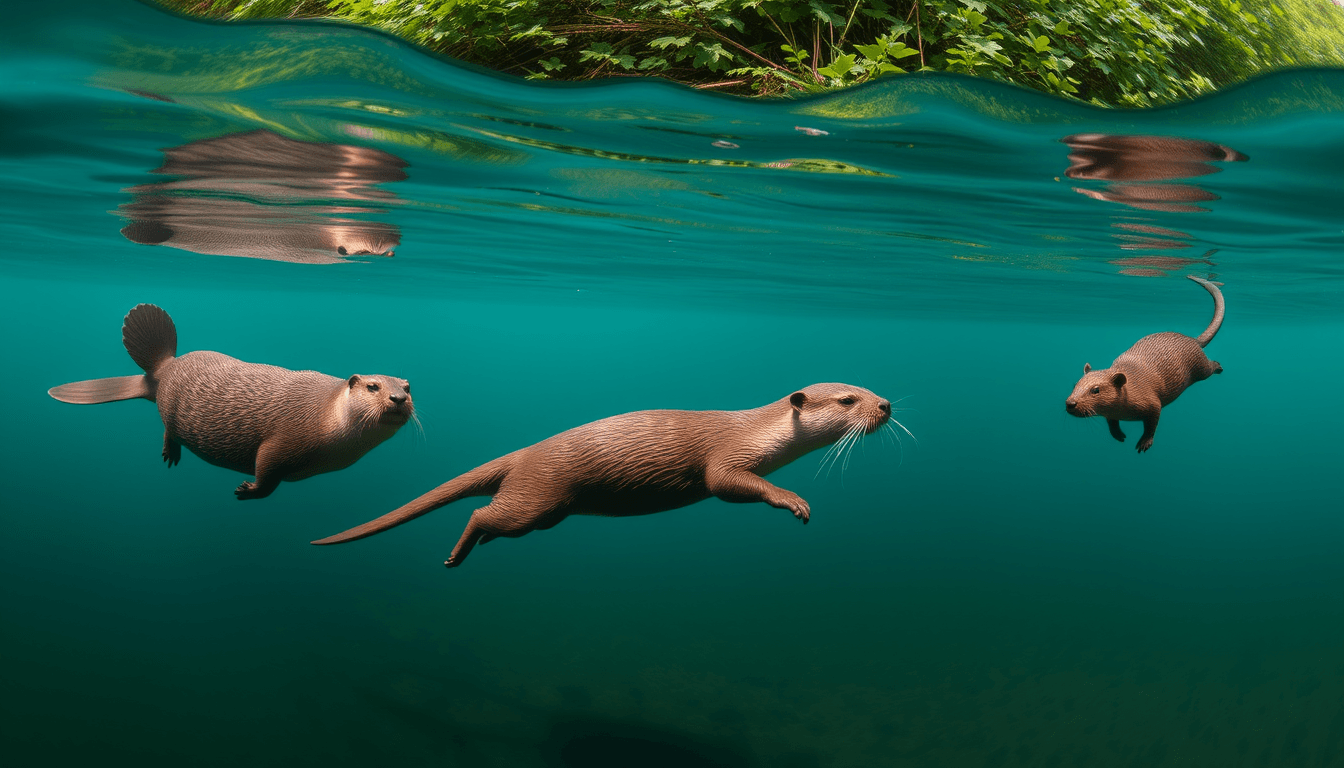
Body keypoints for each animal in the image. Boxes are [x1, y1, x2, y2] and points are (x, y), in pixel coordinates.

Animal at [49, 304, 414, 499]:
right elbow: (265, 470)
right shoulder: (286, 439)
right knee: (168, 428)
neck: (325, 411)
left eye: (408, 387)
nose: (397, 398)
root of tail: (161, 369)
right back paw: (171, 454)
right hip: (171, 406)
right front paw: (246, 490)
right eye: (373, 386)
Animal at [313, 383, 892, 568]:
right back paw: (455, 558)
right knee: (483, 513)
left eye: (867, 388)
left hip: (546, 509)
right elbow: (727, 486)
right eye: (848, 400)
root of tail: (525, 453)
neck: (759, 431)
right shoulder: (728, 458)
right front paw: (794, 500)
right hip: (539, 495)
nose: (886, 405)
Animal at [1065, 276, 1225, 452]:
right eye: (1075, 385)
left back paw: (1219, 367)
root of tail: (1195, 340)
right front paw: (1119, 436)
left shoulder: (1150, 402)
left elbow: (1153, 421)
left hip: (1200, 366)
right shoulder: (1111, 413)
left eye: (1095, 390)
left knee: (1209, 367)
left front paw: (1144, 443)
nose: (1070, 403)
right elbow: (1111, 422)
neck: (1128, 388)